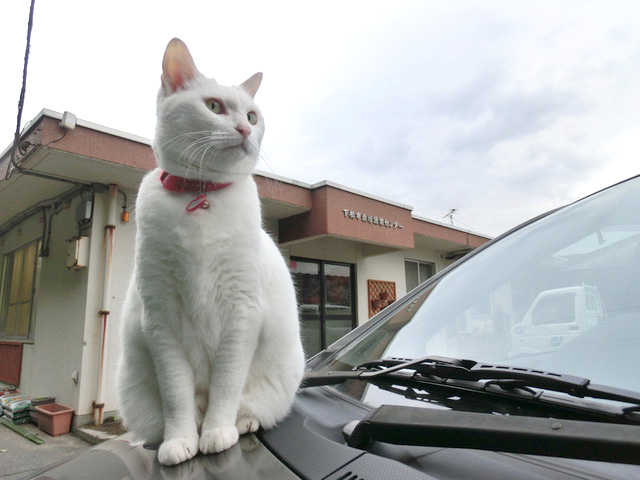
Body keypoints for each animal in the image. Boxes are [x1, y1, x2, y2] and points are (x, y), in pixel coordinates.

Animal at [117, 39, 304, 466]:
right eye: (215, 106)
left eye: (252, 115)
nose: (245, 128)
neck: (201, 195)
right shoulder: (160, 318)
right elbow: (176, 395)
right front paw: (179, 441)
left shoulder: (242, 310)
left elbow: (227, 384)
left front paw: (218, 432)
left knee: (251, 406)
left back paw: (240, 423)